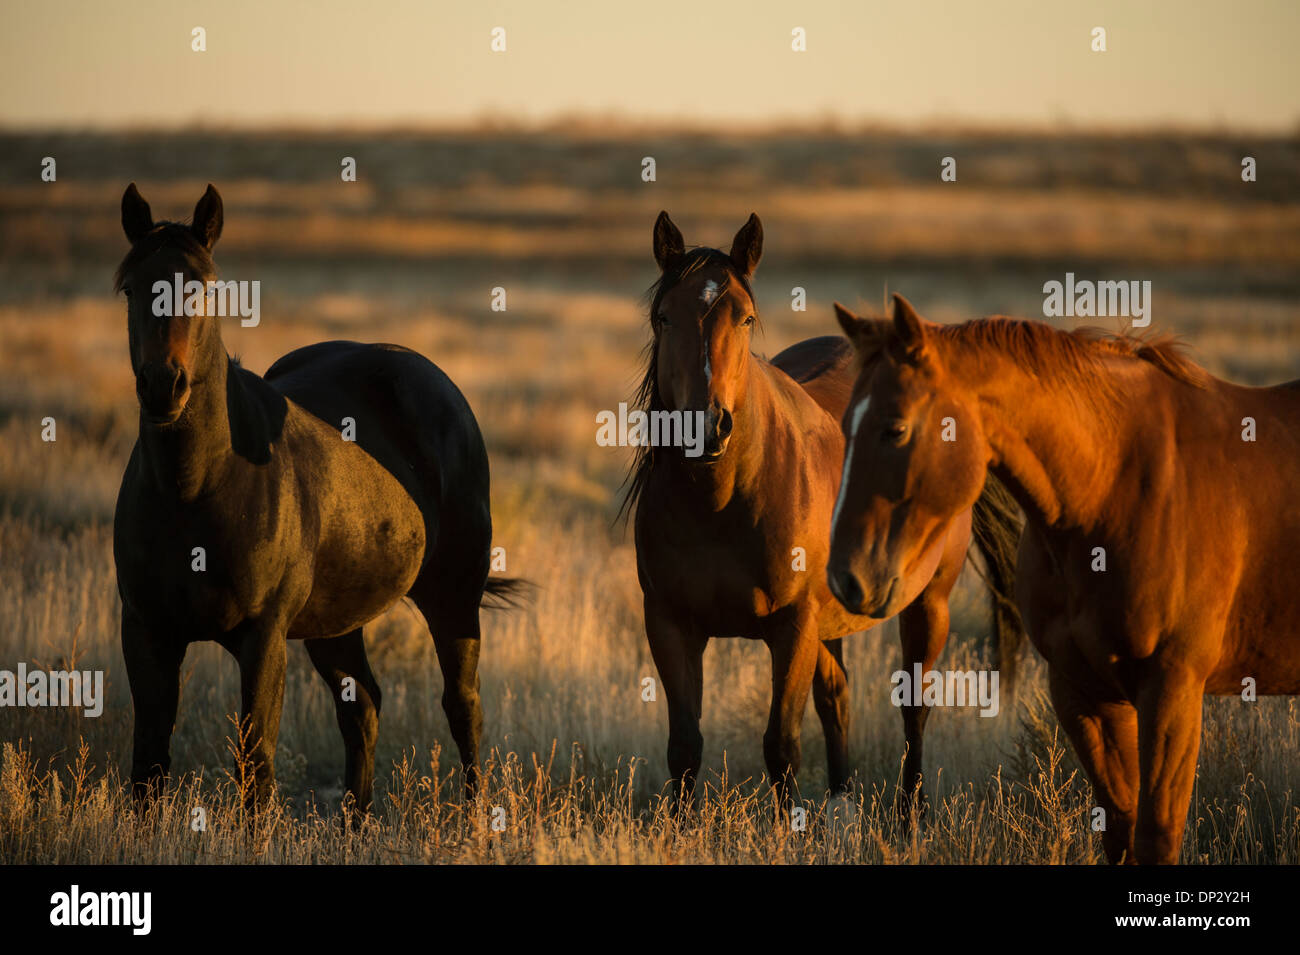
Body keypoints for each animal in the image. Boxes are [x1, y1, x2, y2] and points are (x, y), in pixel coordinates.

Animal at [112, 183, 519, 813]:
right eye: (132, 287)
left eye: (203, 286)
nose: (163, 387)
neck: (195, 489)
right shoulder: (146, 631)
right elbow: (149, 765)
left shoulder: (262, 637)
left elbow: (255, 764)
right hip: (336, 622)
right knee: (364, 708)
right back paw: (357, 821)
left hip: (452, 595)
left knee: (463, 706)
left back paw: (474, 821)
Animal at [625, 212, 1023, 807]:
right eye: (663, 317)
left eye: (745, 319)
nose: (706, 427)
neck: (719, 503)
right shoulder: (670, 623)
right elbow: (685, 749)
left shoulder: (793, 626)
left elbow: (781, 747)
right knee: (838, 699)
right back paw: (843, 797)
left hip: (928, 601)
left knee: (915, 707)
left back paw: (910, 812)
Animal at [830, 292, 1300, 863]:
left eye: (895, 427)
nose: (846, 578)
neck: (1112, 489)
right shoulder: (1082, 689)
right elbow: (1119, 828)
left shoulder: (1173, 688)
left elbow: (1156, 835)